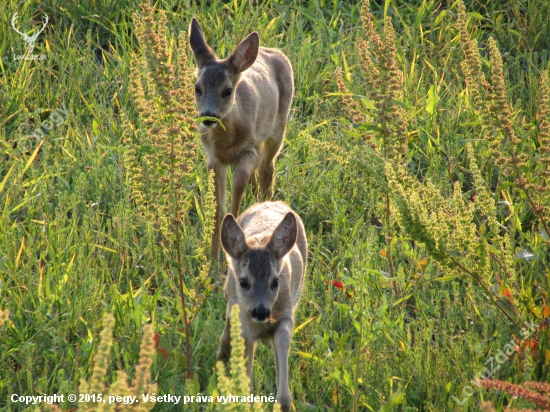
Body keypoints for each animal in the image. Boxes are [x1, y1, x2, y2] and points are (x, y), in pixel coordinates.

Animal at [190, 19, 296, 260]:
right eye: (197, 87)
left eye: (227, 90)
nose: (208, 117)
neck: (226, 144)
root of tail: (273, 51)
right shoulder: (213, 160)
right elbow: (217, 209)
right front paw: (213, 259)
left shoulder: (250, 149)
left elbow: (238, 186)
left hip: (279, 127)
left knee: (267, 168)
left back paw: (265, 203)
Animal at [219, 201, 306, 410]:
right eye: (243, 281)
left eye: (275, 281)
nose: (260, 311)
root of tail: (272, 202)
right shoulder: (244, 329)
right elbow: (246, 384)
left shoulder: (286, 316)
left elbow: (281, 341)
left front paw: (283, 403)